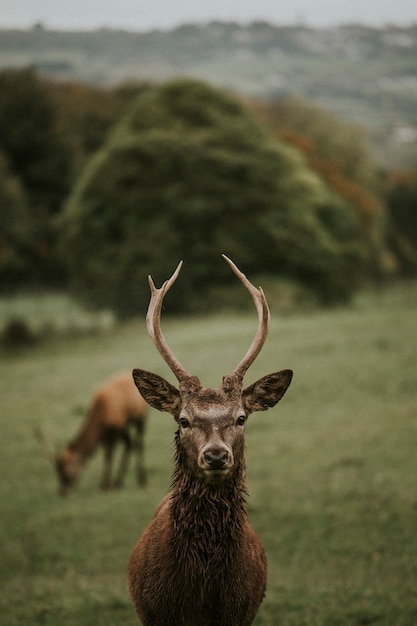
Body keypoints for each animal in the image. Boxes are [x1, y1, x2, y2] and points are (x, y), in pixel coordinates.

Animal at [36, 370, 148, 498]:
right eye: (57, 472)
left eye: (66, 473)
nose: (63, 492)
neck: (101, 417)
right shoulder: (106, 434)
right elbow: (106, 454)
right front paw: (105, 484)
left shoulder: (114, 429)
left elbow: (109, 455)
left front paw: (106, 485)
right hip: (125, 426)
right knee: (129, 444)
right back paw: (119, 482)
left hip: (140, 418)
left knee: (139, 443)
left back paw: (142, 480)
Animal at [127, 255, 292, 624]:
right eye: (184, 419)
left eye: (241, 417)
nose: (216, 455)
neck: (201, 594)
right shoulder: (155, 612)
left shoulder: (241, 612)